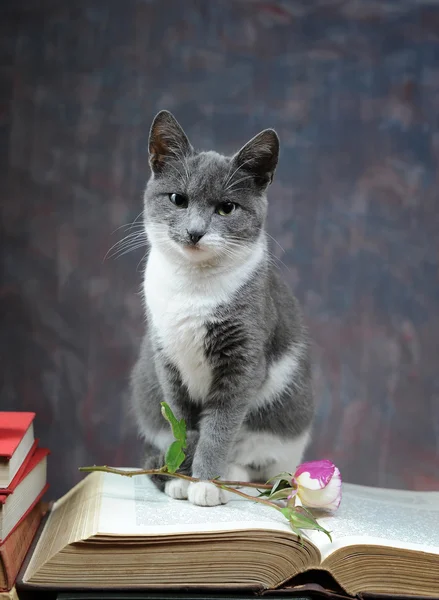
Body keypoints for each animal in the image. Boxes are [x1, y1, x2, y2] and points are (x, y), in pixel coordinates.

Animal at [129, 109, 314, 506]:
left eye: (226, 208)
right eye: (178, 199)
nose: (195, 232)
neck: (194, 288)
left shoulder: (244, 361)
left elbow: (219, 427)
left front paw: (205, 483)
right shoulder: (167, 361)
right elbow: (183, 424)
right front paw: (180, 475)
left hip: (283, 426)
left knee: (260, 465)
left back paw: (234, 476)